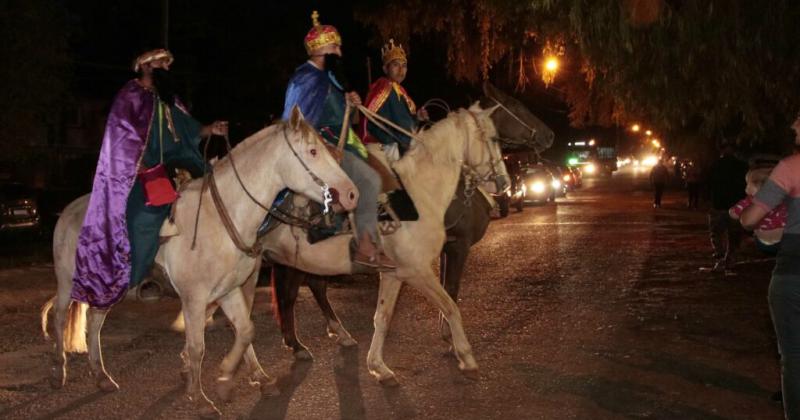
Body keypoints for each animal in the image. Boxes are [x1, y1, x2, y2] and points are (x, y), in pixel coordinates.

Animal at [39, 108, 358, 416]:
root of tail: (68, 210)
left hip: (112, 285)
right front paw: (200, 396)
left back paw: (101, 376)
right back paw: (58, 373)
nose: (351, 194)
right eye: (313, 151)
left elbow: (245, 330)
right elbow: (197, 346)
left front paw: (229, 380)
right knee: (59, 315)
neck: (222, 217)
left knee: (94, 320)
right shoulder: (194, 297)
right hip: (68, 280)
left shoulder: (229, 290)